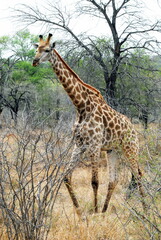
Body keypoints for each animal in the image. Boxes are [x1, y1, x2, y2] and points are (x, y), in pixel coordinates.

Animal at [32, 33, 146, 216]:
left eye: (48, 50)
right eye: (37, 48)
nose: (34, 61)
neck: (81, 106)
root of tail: (133, 129)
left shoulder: (94, 145)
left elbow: (94, 181)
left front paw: (93, 212)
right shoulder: (79, 145)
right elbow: (66, 177)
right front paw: (80, 212)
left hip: (131, 148)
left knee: (138, 174)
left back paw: (146, 210)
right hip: (113, 151)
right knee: (114, 180)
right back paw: (105, 211)